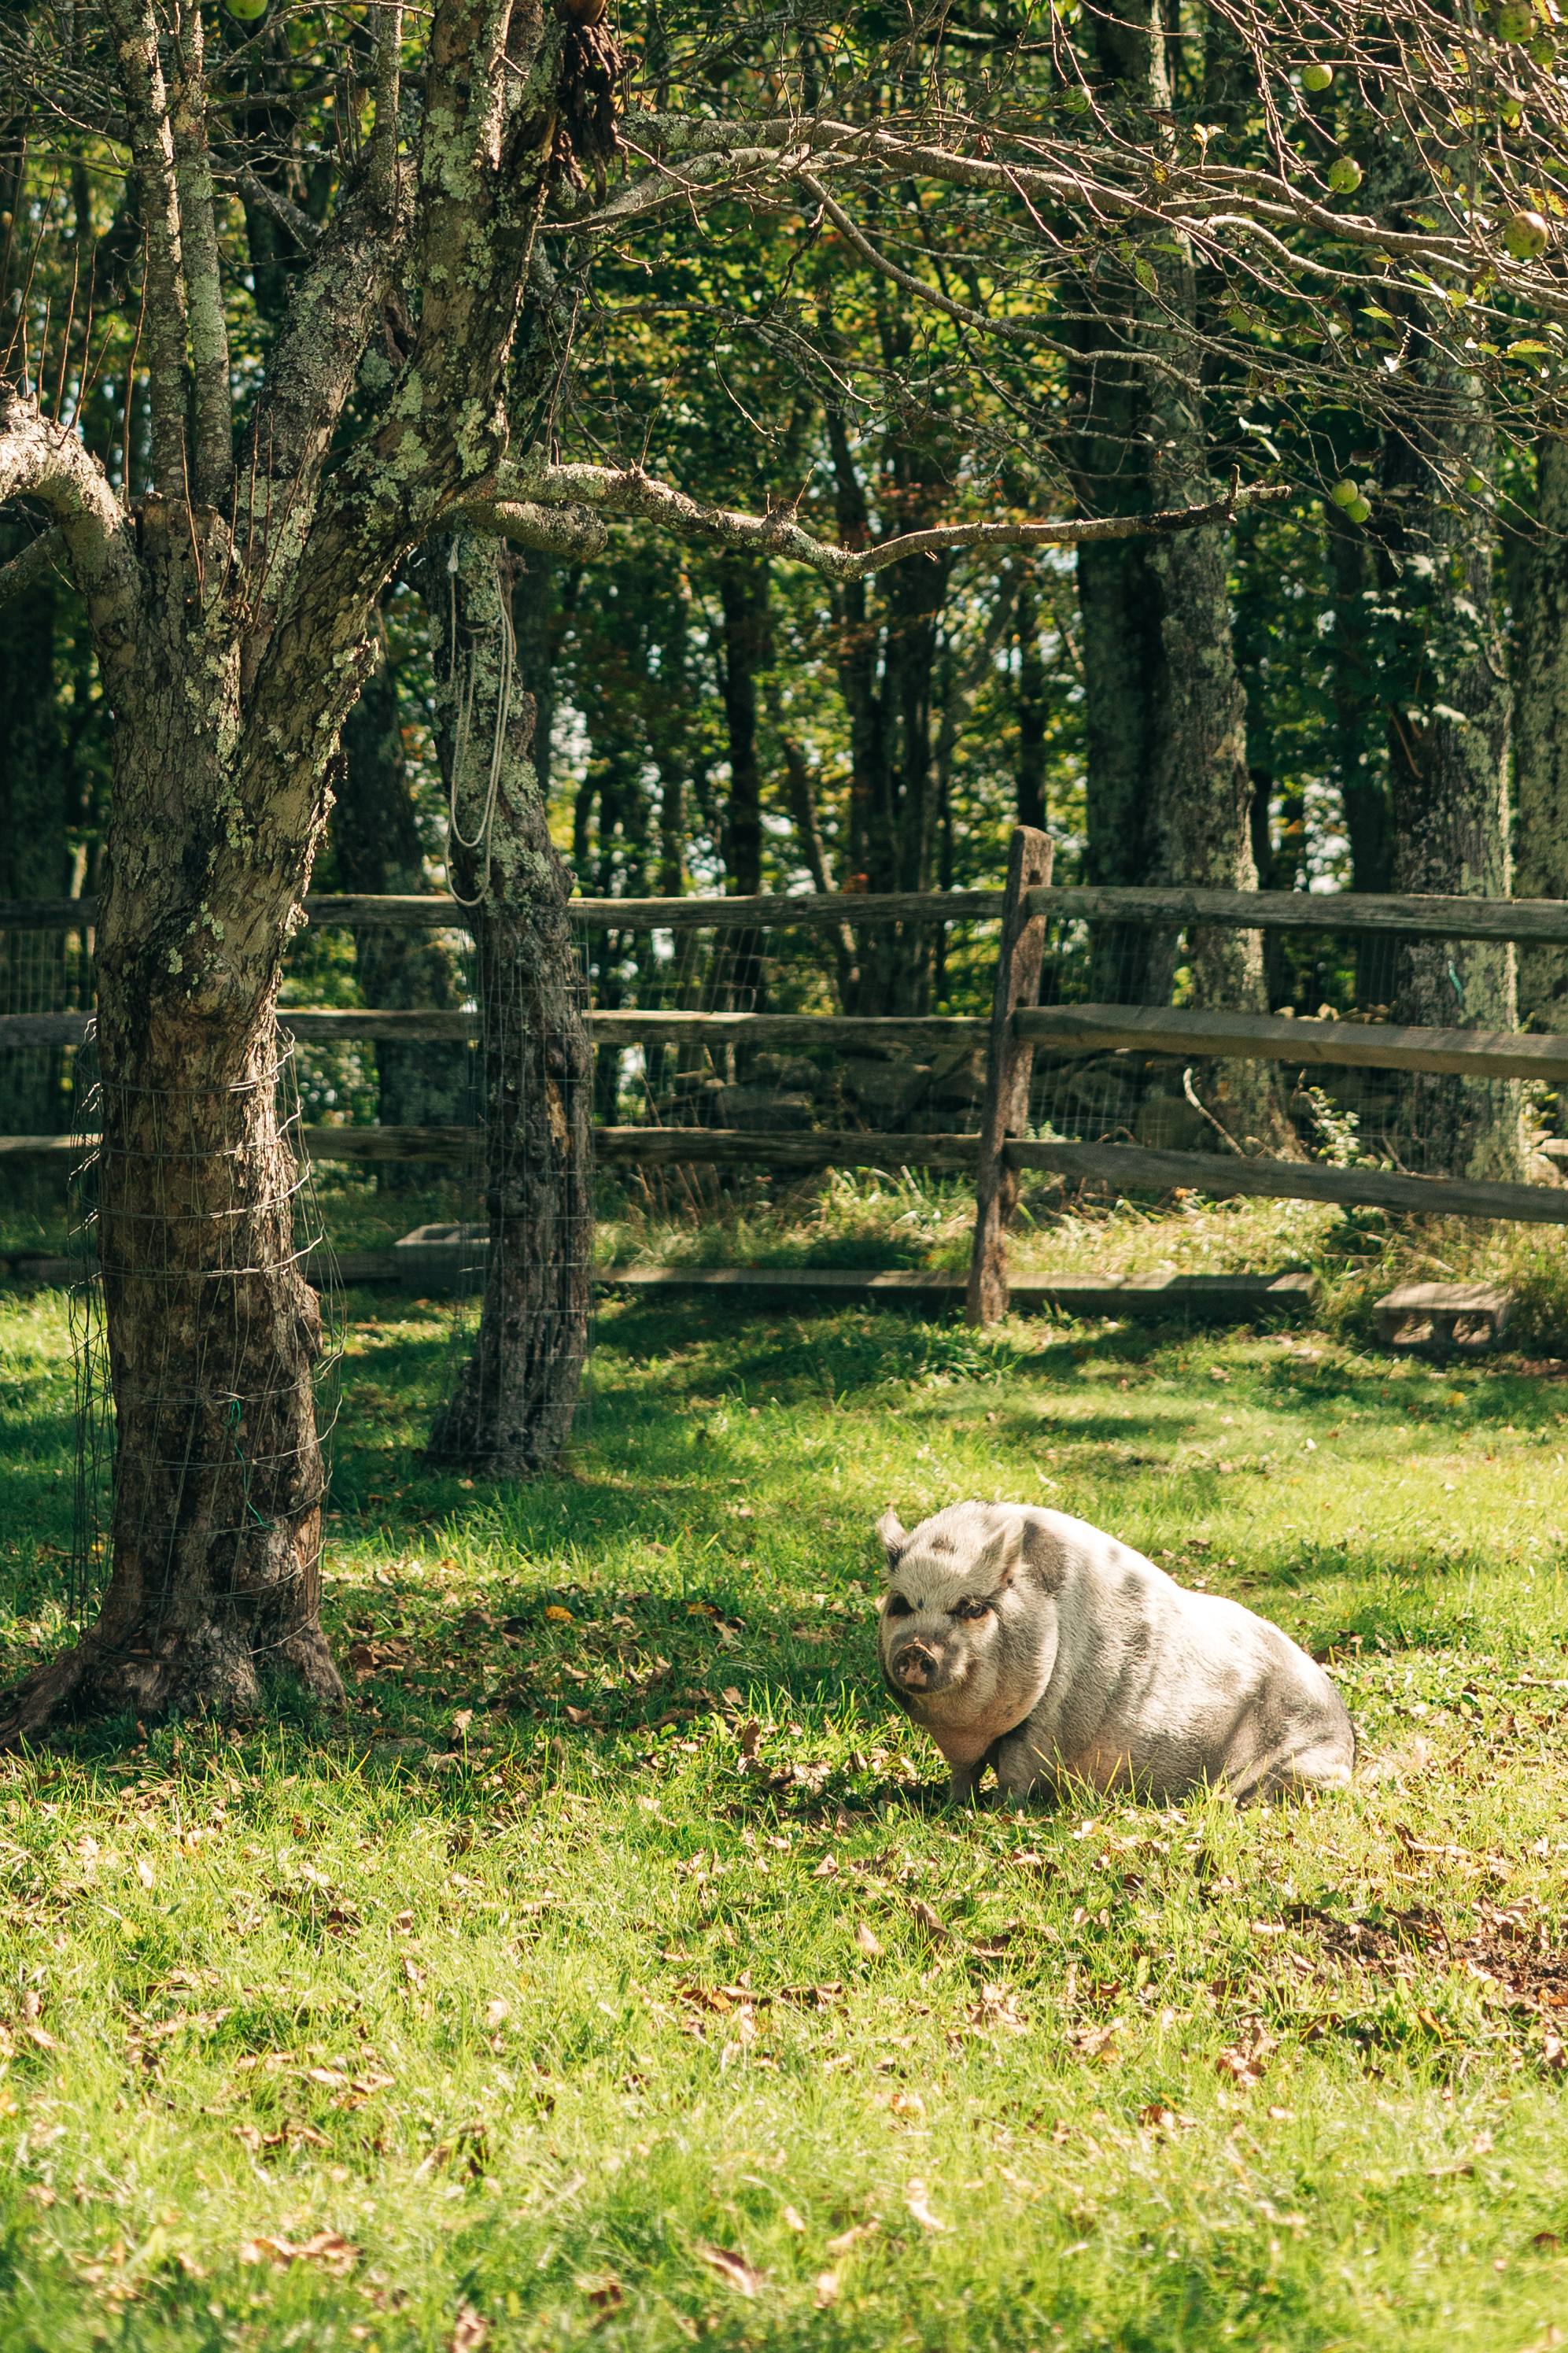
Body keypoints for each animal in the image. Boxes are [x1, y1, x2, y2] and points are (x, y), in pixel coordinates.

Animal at [875, 1500, 1354, 1806]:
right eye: (901, 1604)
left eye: (971, 1608)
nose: (917, 1649)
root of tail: (1348, 1734)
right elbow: (964, 1775)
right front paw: (948, 1805)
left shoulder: (1046, 1725)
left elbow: (1015, 1773)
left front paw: (993, 1812)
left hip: (1305, 1763)